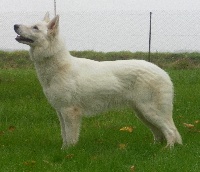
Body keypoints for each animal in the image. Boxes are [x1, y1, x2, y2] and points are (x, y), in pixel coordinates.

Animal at [13, 12, 181, 148]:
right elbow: (64, 135)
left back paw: (167, 151)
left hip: (150, 111)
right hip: (142, 113)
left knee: (170, 131)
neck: (58, 68)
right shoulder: (60, 112)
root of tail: (163, 72)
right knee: (159, 133)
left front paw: (68, 154)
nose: (15, 25)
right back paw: (154, 149)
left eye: (35, 27)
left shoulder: (70, 112)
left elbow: (71, 138)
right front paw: (63, 151)